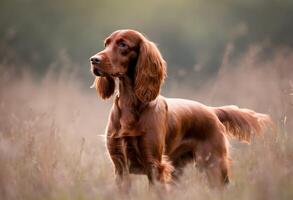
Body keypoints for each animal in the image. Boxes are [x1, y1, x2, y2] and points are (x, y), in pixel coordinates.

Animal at [88, 29, 270, 189]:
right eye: (106, 43)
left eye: (123, 44)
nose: (93, 59)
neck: (130, 103)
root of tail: (212, 111)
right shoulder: (120, 168)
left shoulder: (154, 166)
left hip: (214, 167)